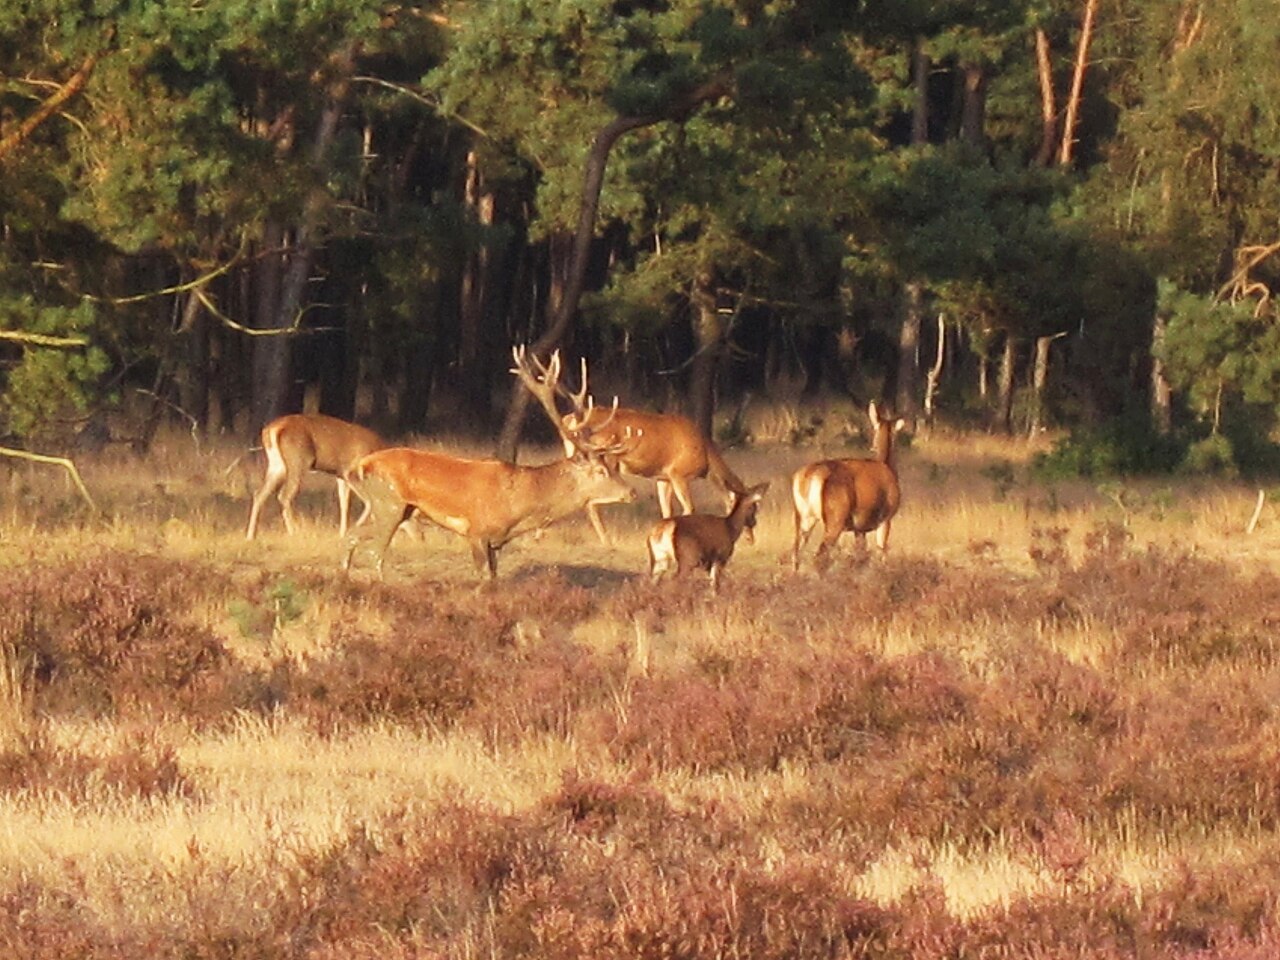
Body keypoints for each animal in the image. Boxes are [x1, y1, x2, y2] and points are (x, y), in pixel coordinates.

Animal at [245, 413, 386, 540]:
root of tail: (273, 429)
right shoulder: (349, 472)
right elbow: (370, 501)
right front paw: (357, 528)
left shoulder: (340, 476)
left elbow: (344, 503)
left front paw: (342, 534)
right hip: (299, 461)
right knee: (284, 495)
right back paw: (294, 532)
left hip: (277, 465)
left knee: (259, 494)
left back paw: (251, 535)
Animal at [341, 347, 637, 580]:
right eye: (600, 470)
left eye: (612, 467)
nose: (631, 492)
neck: (519, 505)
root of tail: (359, 467)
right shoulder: (477, 531)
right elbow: (484, 577)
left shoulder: (496, 542)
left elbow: (494, 576)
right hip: (389, 503)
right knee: (375, 552)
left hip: (389, 507)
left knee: (351, 536)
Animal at [548, 358, 748, 544]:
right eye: (748, 513)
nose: (750, 539)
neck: (706, 456)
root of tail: (569, 420)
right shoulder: (678, 473)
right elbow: (689, 509)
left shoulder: (663, 478)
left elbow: (667, 512)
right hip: (603, 457)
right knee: (591, 500)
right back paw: (606, 539)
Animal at [791, 401, 906, 570]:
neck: (888, 466)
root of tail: (806, 477)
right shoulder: (886, 518)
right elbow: (882, 552)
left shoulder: (859, 528)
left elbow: (861, 555)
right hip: (835, 517)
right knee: (819, 555)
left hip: (803, 517)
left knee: (795, 552)